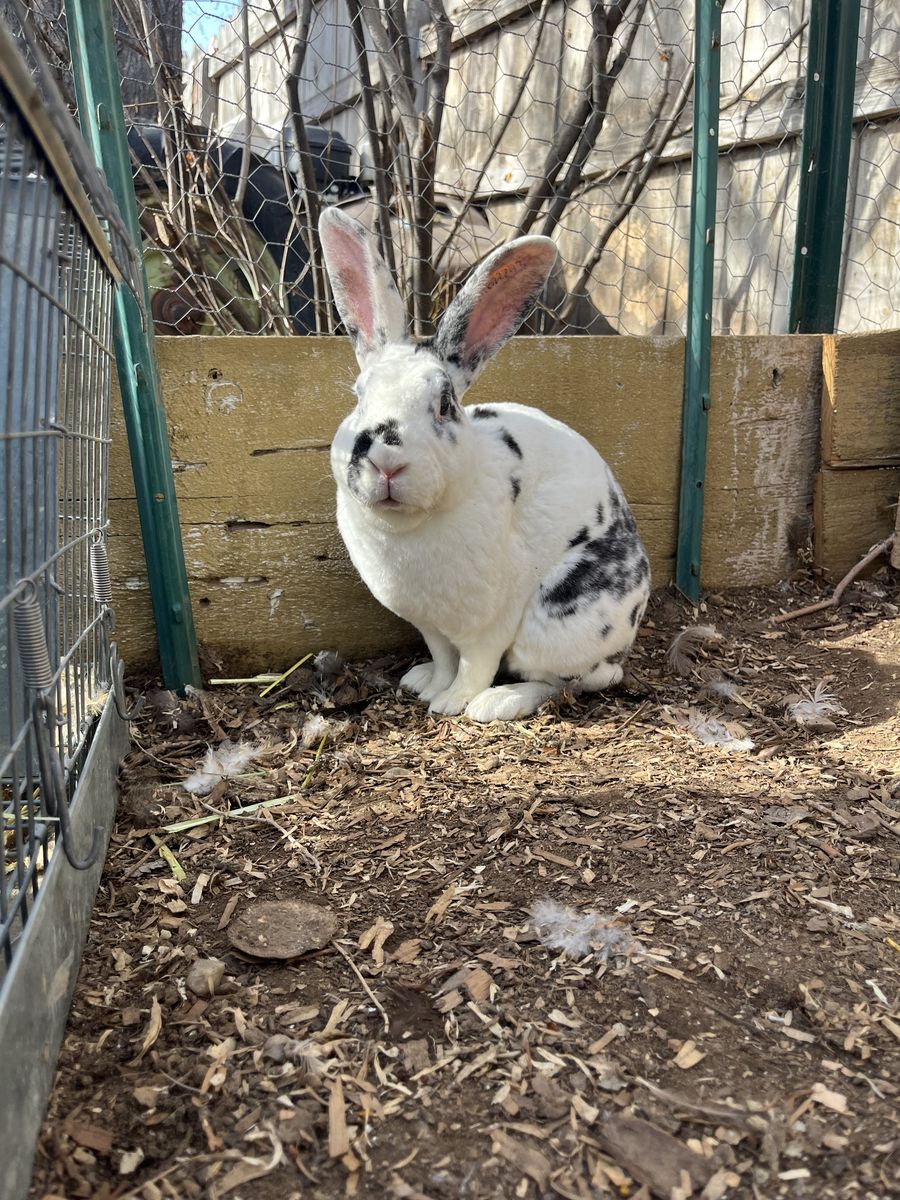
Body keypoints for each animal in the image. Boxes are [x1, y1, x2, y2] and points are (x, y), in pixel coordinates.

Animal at [318, 207, 650, 722]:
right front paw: (429, 685)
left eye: (444, 405)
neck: (408, 528)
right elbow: (442, 656)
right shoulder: (430, 625)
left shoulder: (490, 623)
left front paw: (452, 702)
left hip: (557, 624)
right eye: (359, 397)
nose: (387, 462)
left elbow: (475, 664)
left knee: (576, 681)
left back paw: (500, 701)